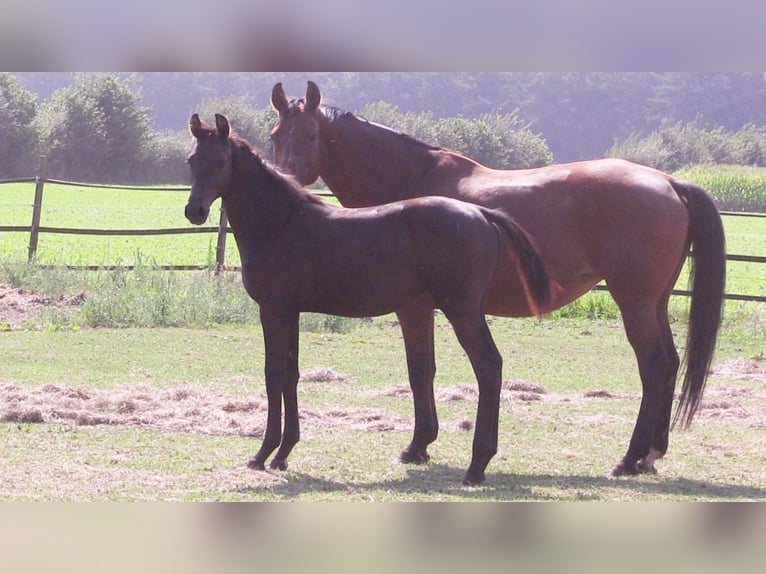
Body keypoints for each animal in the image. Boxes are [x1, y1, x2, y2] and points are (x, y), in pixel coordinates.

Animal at [187, 115, 556, 488]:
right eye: (191, 161)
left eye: (221, 161)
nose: (194, 211)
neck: (281, 223)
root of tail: (481, 213)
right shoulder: (290, 312)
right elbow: (291, 374)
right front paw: (283, 453)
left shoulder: (273, 310)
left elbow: (273, 374)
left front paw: (263, 453)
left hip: (462, 309)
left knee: (488, 365)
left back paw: (477, 464)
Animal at [272, 81, 728, 476]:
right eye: (276, 134)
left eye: (311, 135)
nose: (286, 179)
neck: (409, 179)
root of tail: (669, 181)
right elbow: (425, 369)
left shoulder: (414, 307)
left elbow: (420, 370)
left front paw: (418, 445)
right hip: (655, 302)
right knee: (670, 364)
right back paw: (651, 454)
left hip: (634, 303)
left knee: (653, 366)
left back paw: (629, 458)